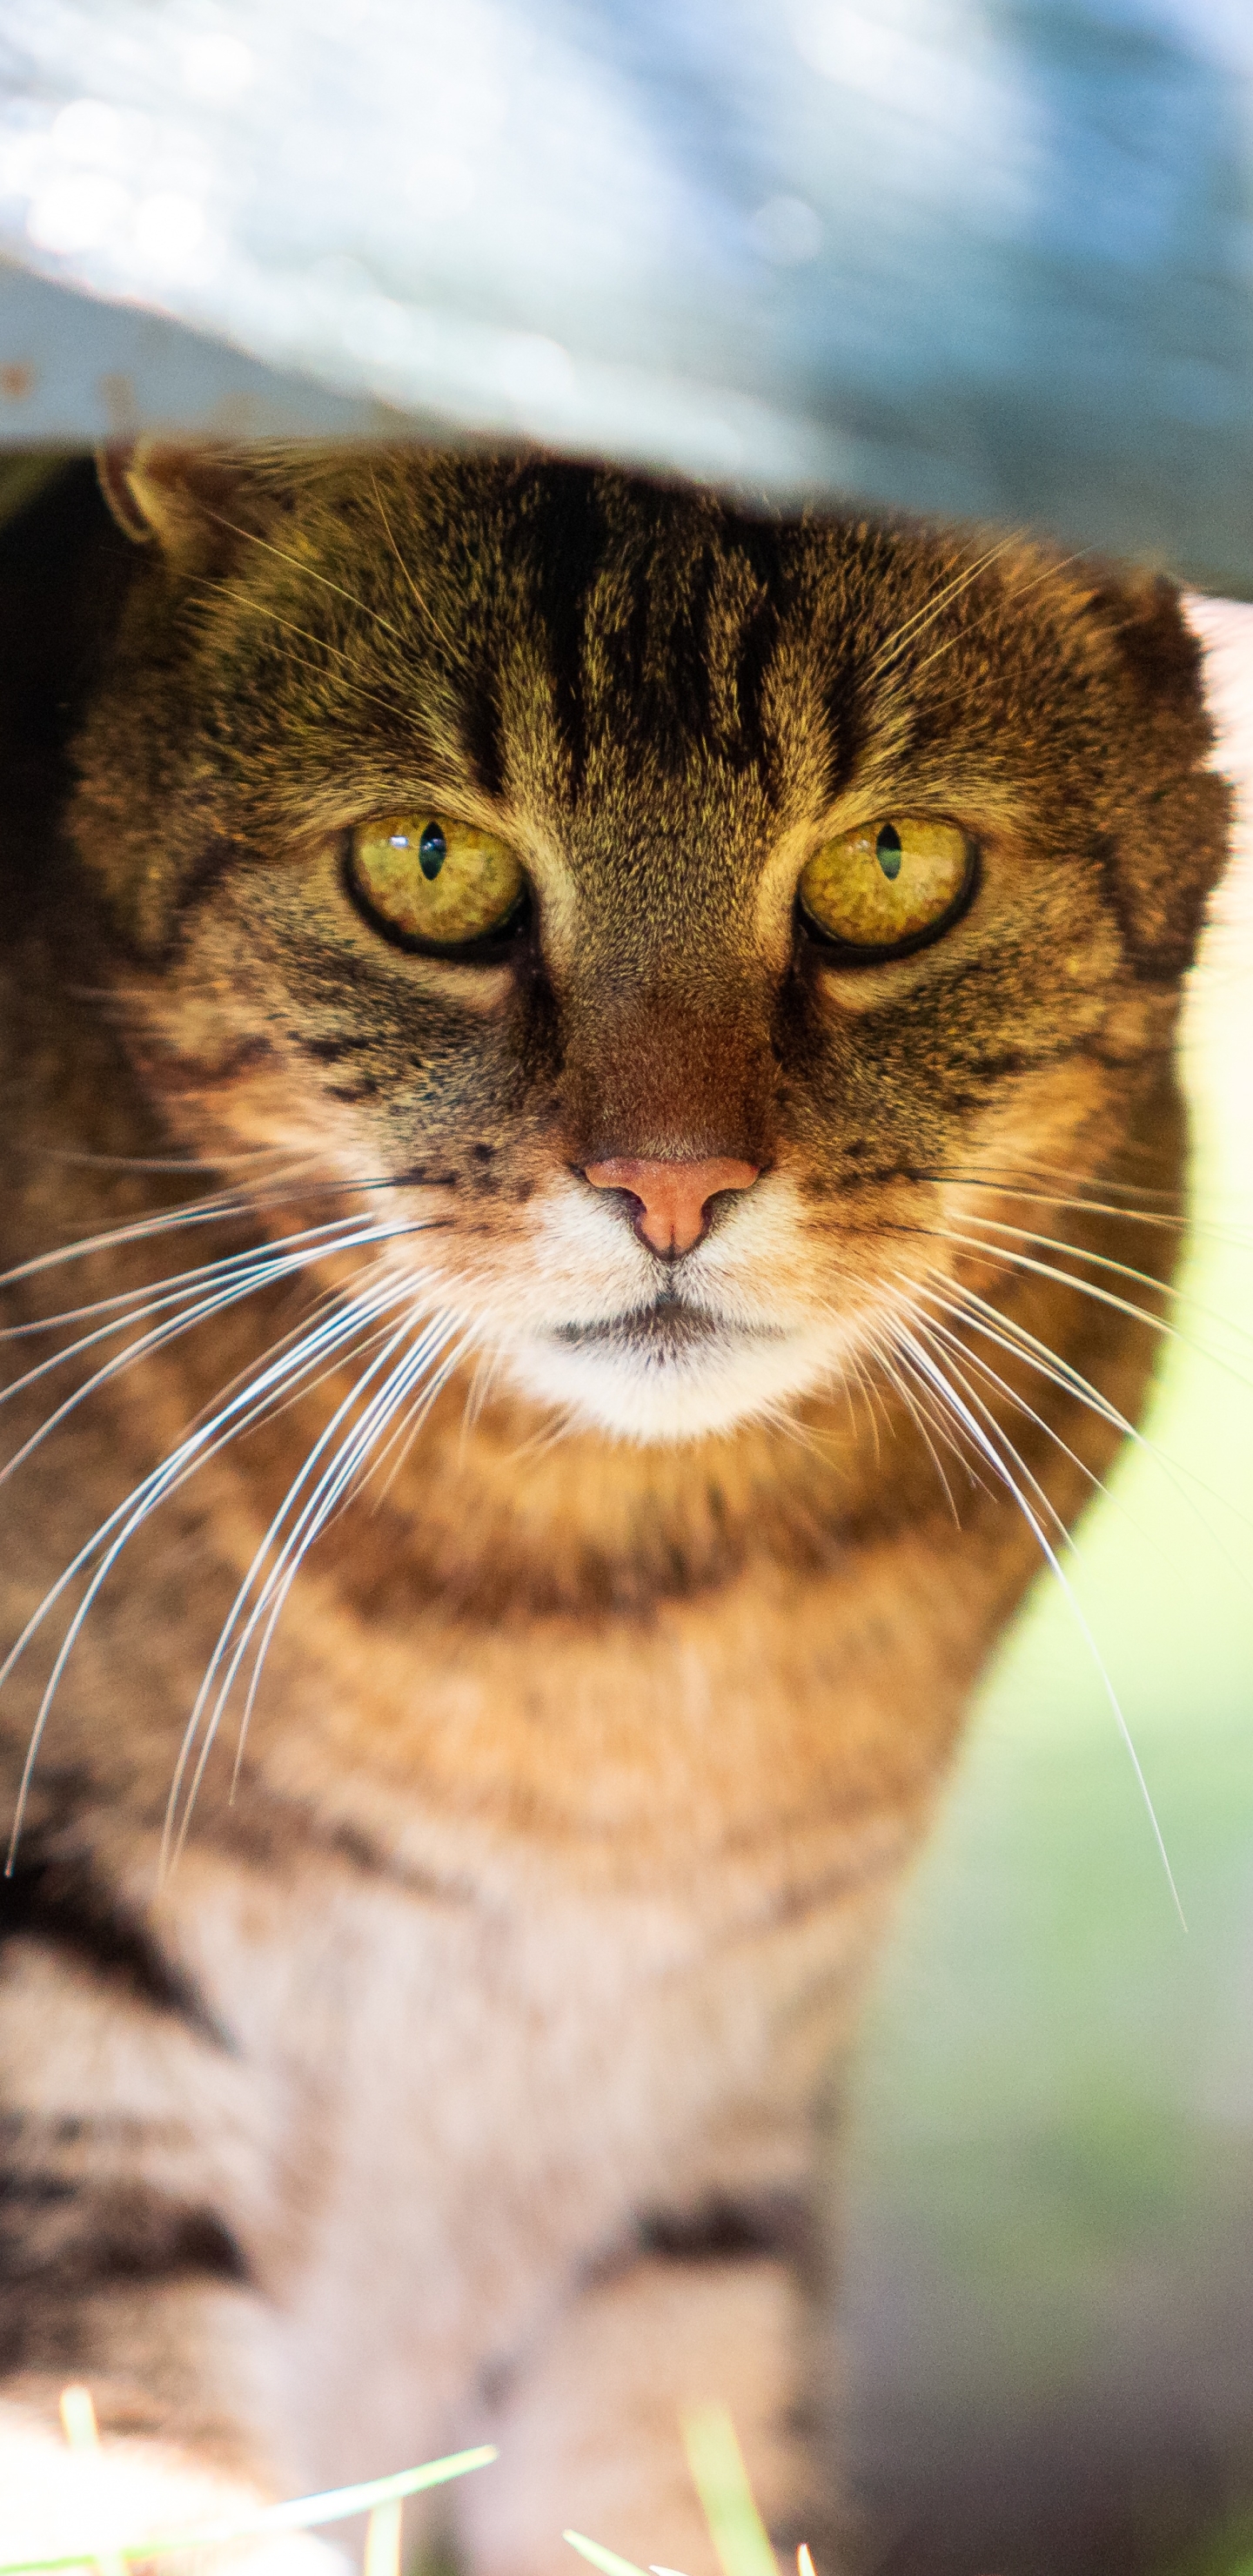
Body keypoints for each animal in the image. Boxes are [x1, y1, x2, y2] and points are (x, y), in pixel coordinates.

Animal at [0, 453, 1222, 2576]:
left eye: (893, 866)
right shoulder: (65, 2065)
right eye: (427, 863)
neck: (602, 1639)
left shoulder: (706, 2153)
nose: (670, 1183)